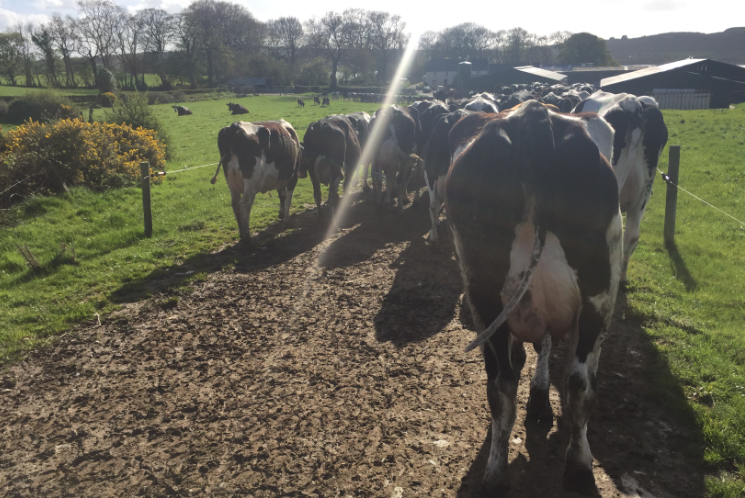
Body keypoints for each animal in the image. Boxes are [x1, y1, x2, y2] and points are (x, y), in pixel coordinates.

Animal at [445, 101, 622, 495]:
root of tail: (534, 114)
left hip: (486, 293)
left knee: (505, 385)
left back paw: (498, 475)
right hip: (595, 294)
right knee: (576, 383)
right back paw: (576, 466)